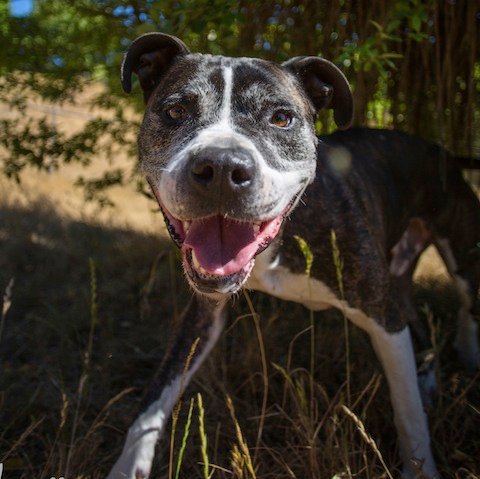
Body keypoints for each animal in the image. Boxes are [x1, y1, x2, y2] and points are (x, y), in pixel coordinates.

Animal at [106, 31, 480, 478]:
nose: (221, 167)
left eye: (281, 118)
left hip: (462, 255)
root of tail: (443, 152)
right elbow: (155, 399)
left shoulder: (382, 315)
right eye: (176, 110)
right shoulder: (202, 314)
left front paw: (420, 467)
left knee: (465, 305)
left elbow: (406, 411)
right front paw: (129, 466)